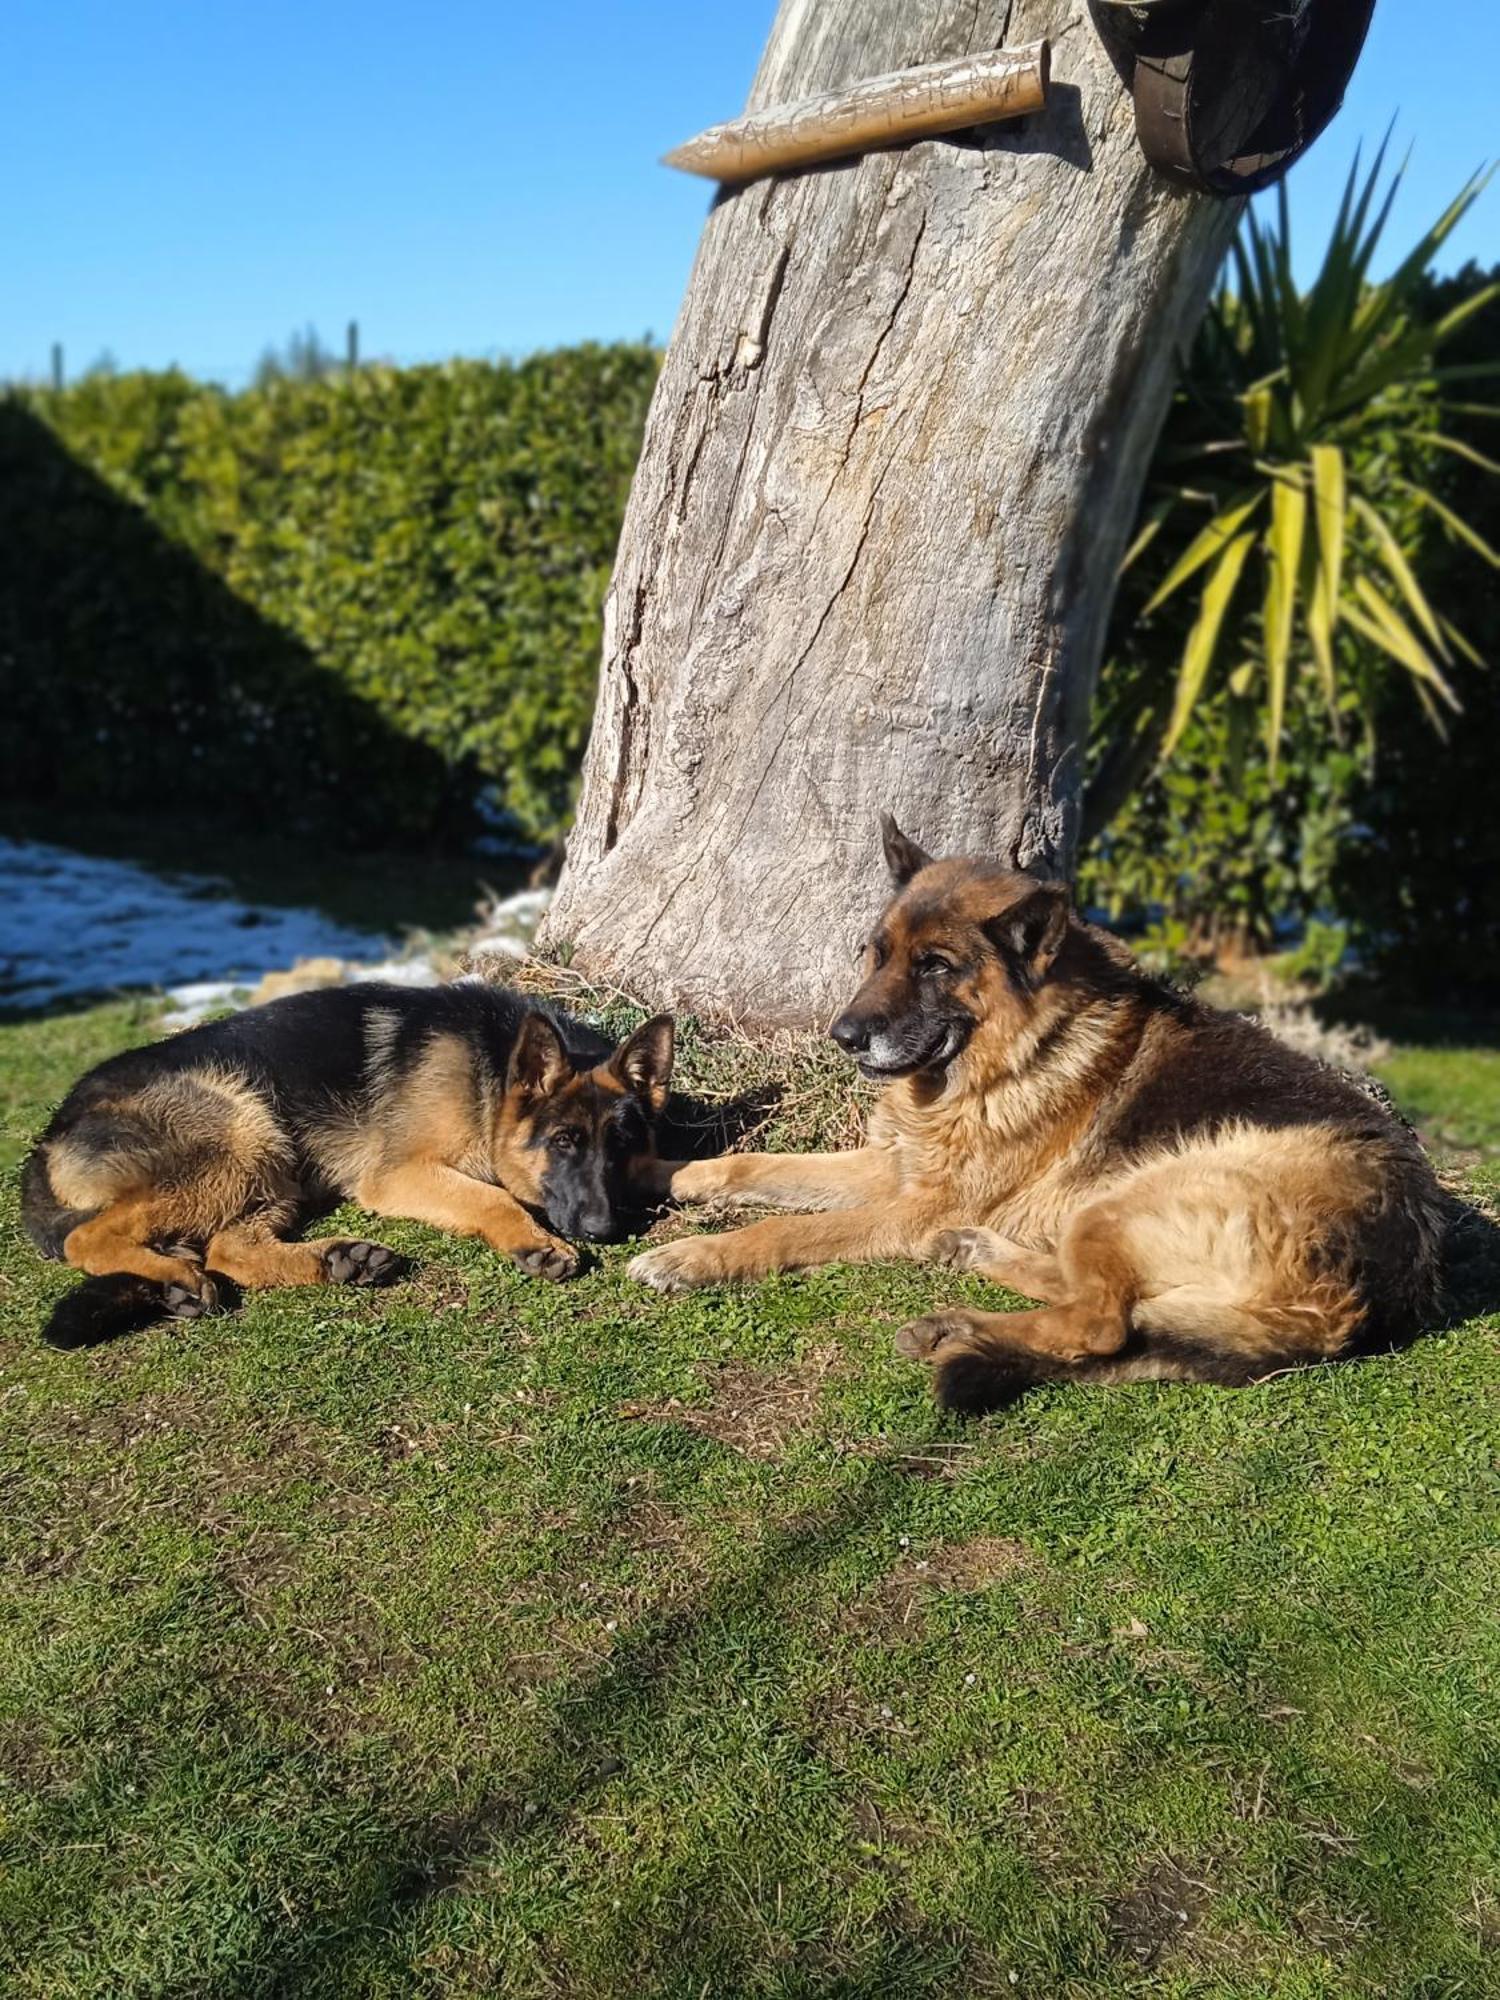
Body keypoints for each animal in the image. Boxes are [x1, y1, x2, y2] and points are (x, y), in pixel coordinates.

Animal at [25, 980, 676, 1352]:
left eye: (619, 1145)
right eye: (564, 1142)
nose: (605, 1230)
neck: (488, 1069)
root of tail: (49, 1137)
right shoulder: (399, 1175)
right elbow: (492, 1195)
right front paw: (534, 1242)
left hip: (274, 1162)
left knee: (229, 1250)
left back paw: (339, 1260)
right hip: (244, 1128)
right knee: (89, 1238)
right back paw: (175, 1276)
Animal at [636, 812, 1456, 1408]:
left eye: (935, 967)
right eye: (879, 954)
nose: (843, 1036)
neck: (1006, 1059)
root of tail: (1374, 1288)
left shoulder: (913, 1207)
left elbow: (782, 1228)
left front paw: (693, 1256)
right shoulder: (891, 1169)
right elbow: (751, 1163)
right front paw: (662, 1173)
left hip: (1129, 1196)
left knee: (1099, 1325)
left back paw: (959, 1326)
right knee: (1098, 1301)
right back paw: (976, 1264)